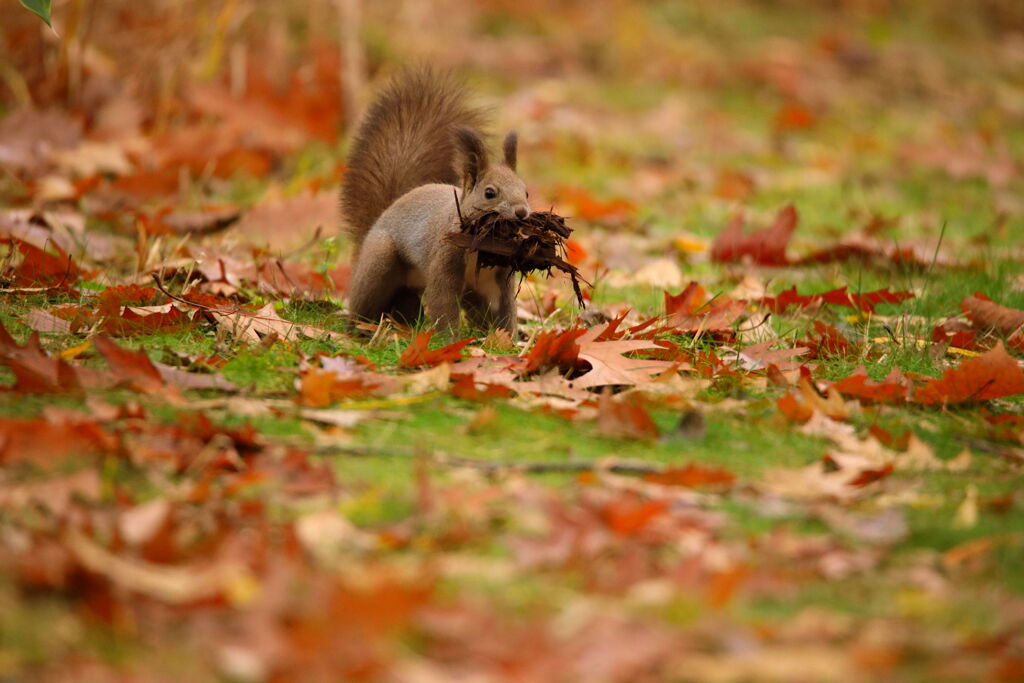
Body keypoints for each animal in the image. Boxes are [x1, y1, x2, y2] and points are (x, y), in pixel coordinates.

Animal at [342, 66, 532, 339]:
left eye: (526, 192)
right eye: (489, 193)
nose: (521, 212)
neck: (483, 246)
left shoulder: (495, 279)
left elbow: (504, 309)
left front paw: (506, 340)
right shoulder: (444, 260)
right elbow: (443, 302)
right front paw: (449, 341)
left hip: (456, 292)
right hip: (379, 261)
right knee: (364, 302)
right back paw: (358, 331)